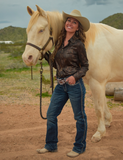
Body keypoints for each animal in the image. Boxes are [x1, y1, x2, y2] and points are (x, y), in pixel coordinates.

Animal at [21, 5, 123, 142]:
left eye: (41, 30)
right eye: (28, 30)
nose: (27, 58)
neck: (89, 44)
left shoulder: (98, 82)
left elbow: (98, 108)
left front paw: (99, 133)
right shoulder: (97, 83)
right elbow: (104, 103)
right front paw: (107, 122)